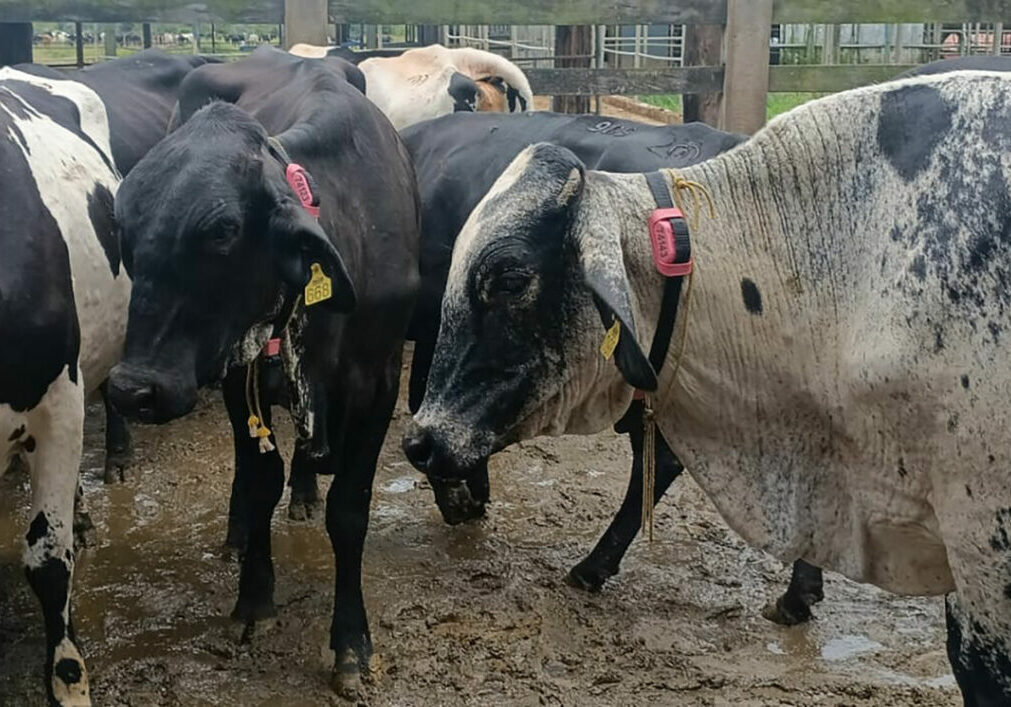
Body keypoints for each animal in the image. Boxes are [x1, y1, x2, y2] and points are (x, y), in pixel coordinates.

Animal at [107, 46, 420, 695]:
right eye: (125, 225)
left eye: (222, 230)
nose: (131, 389)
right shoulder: (236, 375)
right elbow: (257, 484)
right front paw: (253, 601)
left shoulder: (378, 385)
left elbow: (349, 509)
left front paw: (351, 642)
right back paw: (237, 531)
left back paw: (303, 491)